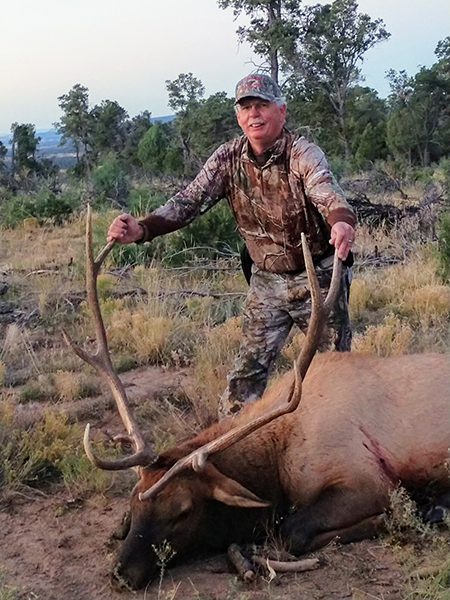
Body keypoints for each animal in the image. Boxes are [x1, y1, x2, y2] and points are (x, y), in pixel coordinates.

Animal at [62, 207, 450, 592]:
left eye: (183, 511)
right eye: (133, 501)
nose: (120, 574)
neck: (278, 459)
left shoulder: (367, 480)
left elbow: (291, 530)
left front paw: (394, 517)